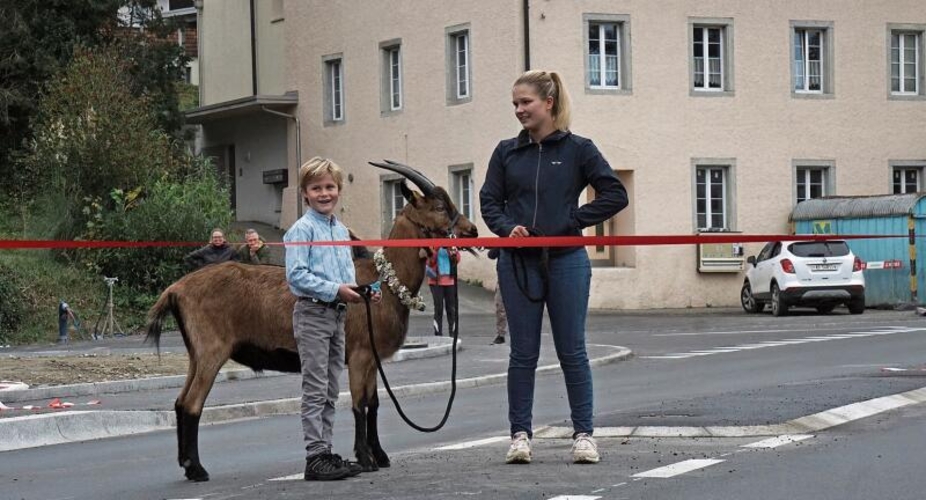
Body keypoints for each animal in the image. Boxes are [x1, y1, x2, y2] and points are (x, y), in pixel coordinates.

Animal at [147, 162, 478, 482]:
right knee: (192, 403)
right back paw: (197, 470)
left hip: (196, 352)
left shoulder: (371, 360)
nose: (472, 230)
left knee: (180, 401)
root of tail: (175, 290)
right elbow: (359, 404)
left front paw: (380, 456)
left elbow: (373, 404)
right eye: (439, 207)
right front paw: (366, 459)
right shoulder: (360, 355)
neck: (384, 282)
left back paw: (187, 464)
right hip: (211, 349)